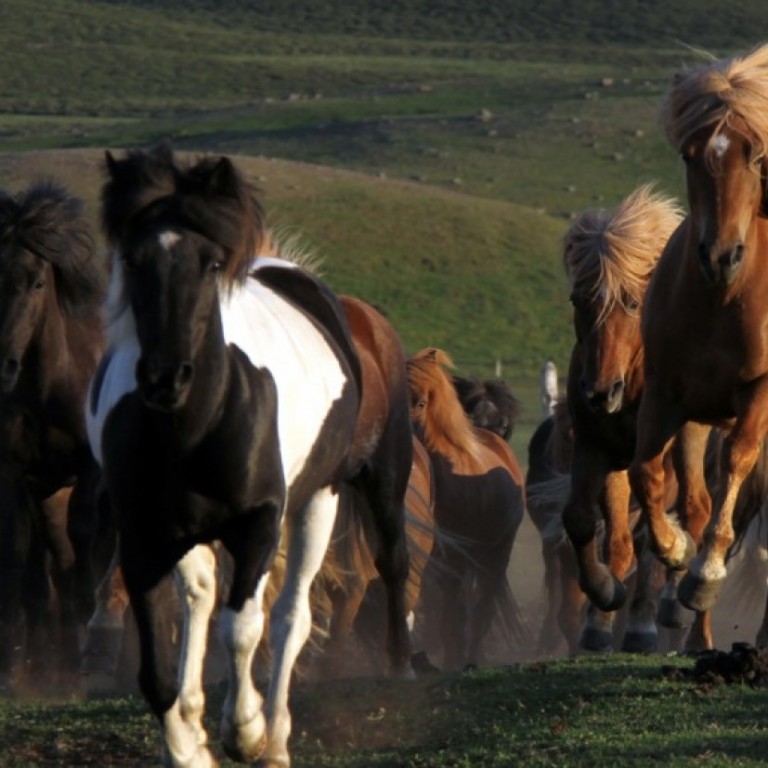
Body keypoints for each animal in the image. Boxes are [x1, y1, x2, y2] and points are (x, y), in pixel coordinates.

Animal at [85, 144, 411, 768]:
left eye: (211, 264)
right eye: (132, 260)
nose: (165, 378)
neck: (194, 428)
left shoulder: (259, 522)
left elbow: (245, 628)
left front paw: (247, 731)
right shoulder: (142, 538)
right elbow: (157, 672)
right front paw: (189, 747)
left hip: (337, 495)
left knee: (297, 613)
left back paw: (287, 729)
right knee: (203, 598)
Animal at [406, 347, 527, 670]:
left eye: (421, 402)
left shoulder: (454, 559)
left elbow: (456, 610)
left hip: (495, 555)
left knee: (481, 606)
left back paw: (471, 655)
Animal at [559, 183, 688, 653]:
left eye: (632, 302)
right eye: (578, 300)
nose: (599, 392)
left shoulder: (660, 461)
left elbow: (654, 535)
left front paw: (641, 624)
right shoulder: (594, 449)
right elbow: (583, 522)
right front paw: (602, 599)